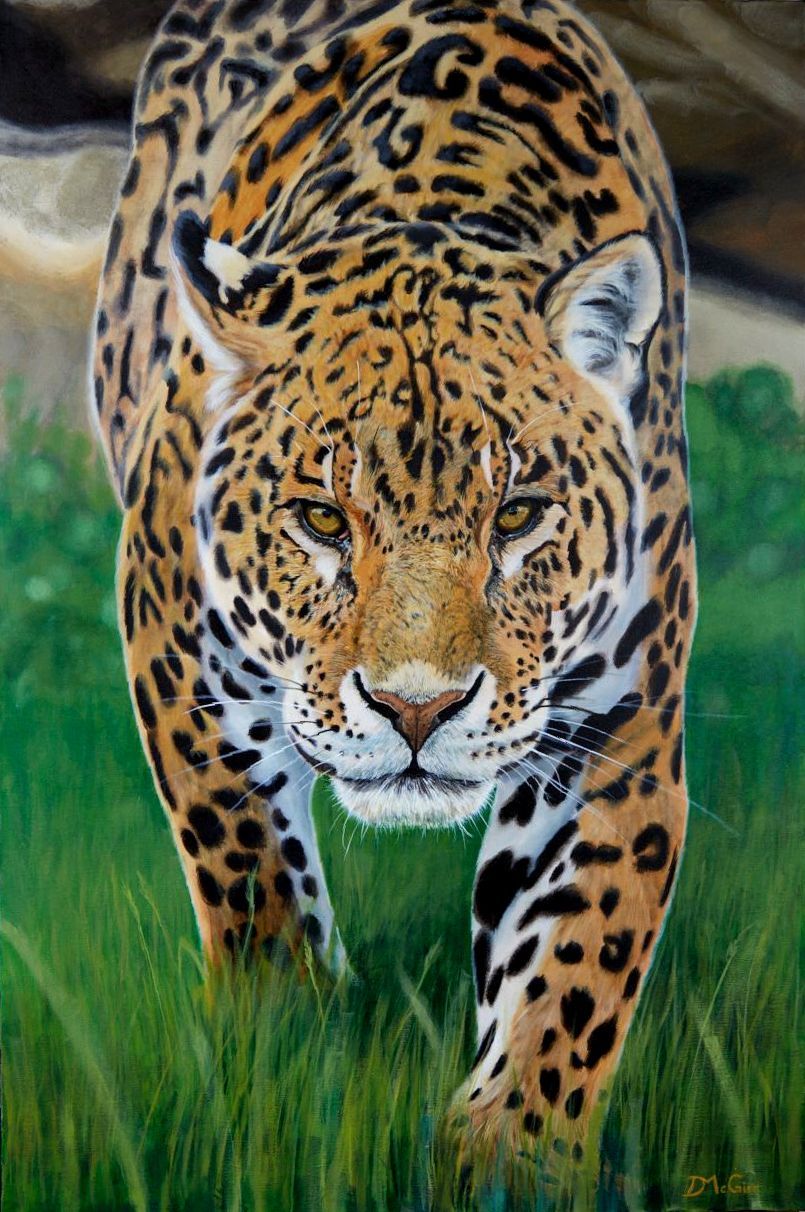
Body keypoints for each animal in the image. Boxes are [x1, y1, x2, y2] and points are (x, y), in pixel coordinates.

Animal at [90, 0, 696, 1161]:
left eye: (518, 516)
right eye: (323, 520)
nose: (418, 710)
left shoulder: (615, 738)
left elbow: (574, 966)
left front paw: (510, 1155)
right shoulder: (178, 655)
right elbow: (253, 881)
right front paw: (278, 1057)